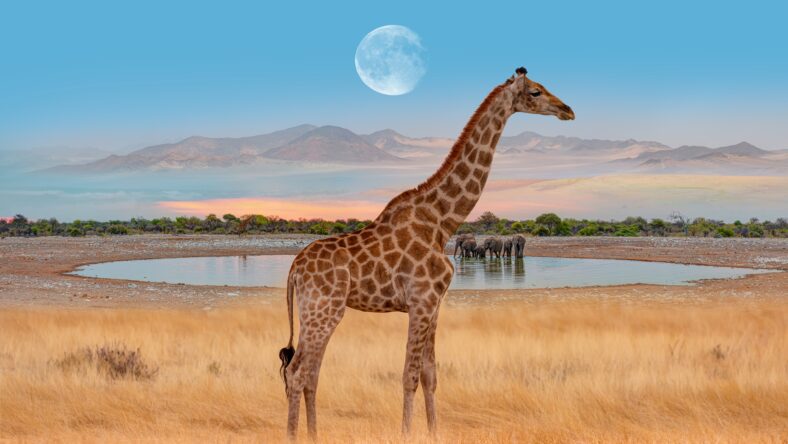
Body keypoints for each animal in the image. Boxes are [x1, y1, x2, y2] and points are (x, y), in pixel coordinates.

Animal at [278, 66, 574, 440]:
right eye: (536, 91)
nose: (567, 110)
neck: (442, 221)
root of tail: (295, 268)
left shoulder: (434, 305)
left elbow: (430, 375)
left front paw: (434, 433)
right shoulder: (420, 301)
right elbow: (409, 376)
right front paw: (405, 433)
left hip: (314, 312)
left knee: (307, 372)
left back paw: (314, 435)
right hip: (323, 310)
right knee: (298, 372)